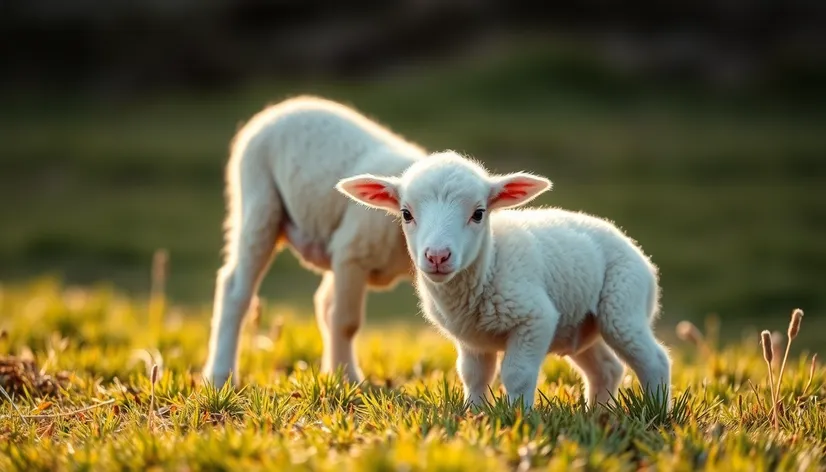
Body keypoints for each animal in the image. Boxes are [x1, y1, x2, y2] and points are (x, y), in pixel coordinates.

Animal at [200, 96, 422, 388]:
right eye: (408, 213)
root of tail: (278, 108)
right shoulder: (351, 254)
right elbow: (346, 322)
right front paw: (346, 380)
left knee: (322, 303)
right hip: (259, 201)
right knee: (235, 289)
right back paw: (220, 375)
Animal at [334, 152, 668, 410]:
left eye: (479, 213)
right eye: (406, 214)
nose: (438, 256)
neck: (491, 264)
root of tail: (636, 250)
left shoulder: (535, 319)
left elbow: (516, 374)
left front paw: (517, 416)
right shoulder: (471, 338)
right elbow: (473, 375)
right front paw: (474, 413)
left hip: (623, 302)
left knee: (655, 359)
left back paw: (655, 411)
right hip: (579, 324)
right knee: (607, 369)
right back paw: (596, 413)